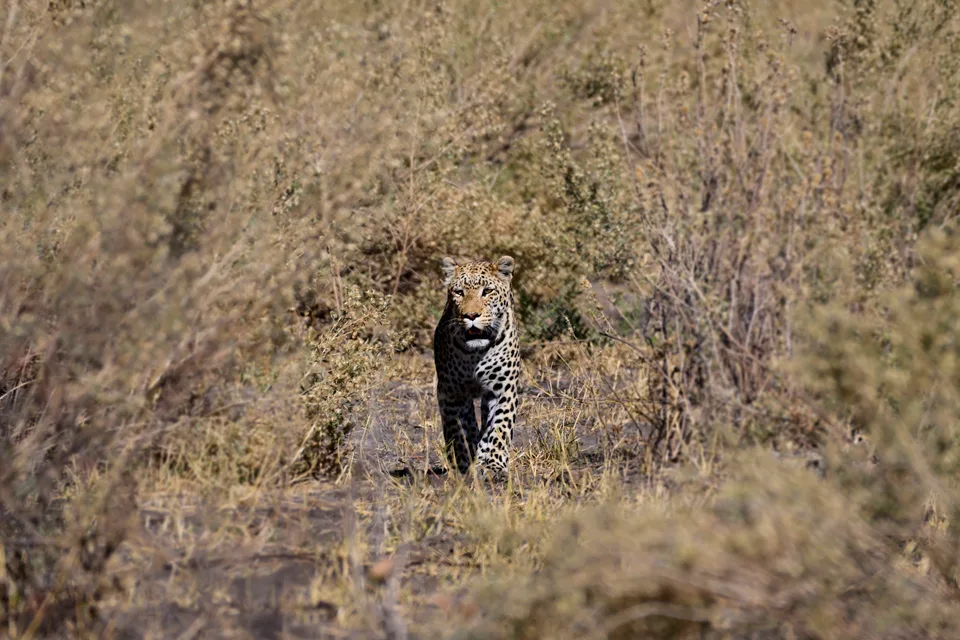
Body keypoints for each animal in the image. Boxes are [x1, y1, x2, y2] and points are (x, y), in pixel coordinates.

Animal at [434, 252, 520, 478]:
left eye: (487, 291)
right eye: (459, 292)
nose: (471, 316)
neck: (475, 354)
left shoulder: (503, 389)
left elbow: (499, 428)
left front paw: (493, 464)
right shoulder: (453, 391)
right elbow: (459, 430)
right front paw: (464, 463)